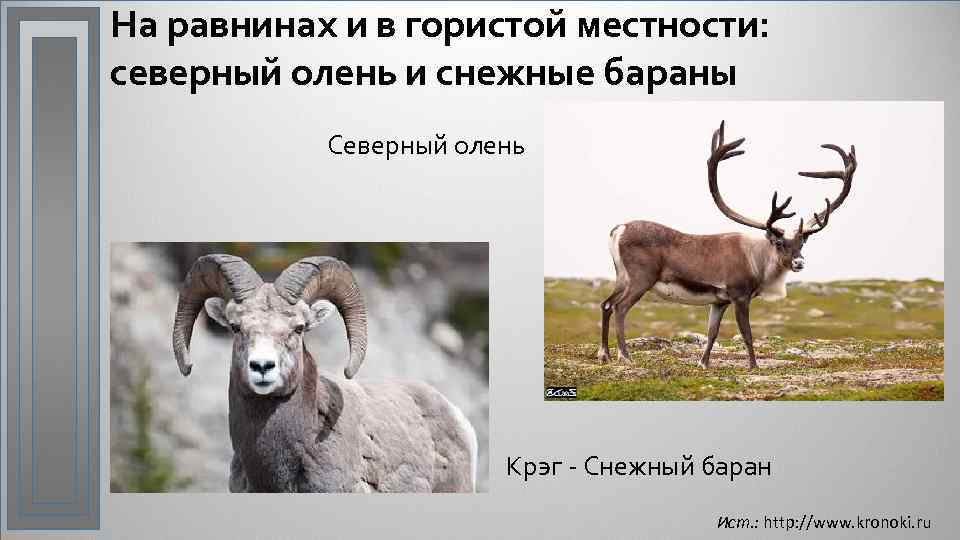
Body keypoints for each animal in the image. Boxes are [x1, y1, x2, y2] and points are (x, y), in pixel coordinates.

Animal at [597, 121, 856, 369]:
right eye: (779, 242)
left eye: (802, 242)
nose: (799, 262)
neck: (757, 261)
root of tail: (618, 229)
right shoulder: (739, 295)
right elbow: (747, 333)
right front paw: (753, 366)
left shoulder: (719, 301)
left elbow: (712, 333)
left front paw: (703, 363)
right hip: (641, 278)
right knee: (620, 307)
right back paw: (625, 356)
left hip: (622, 277)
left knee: (606, 304)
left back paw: (605, 355)